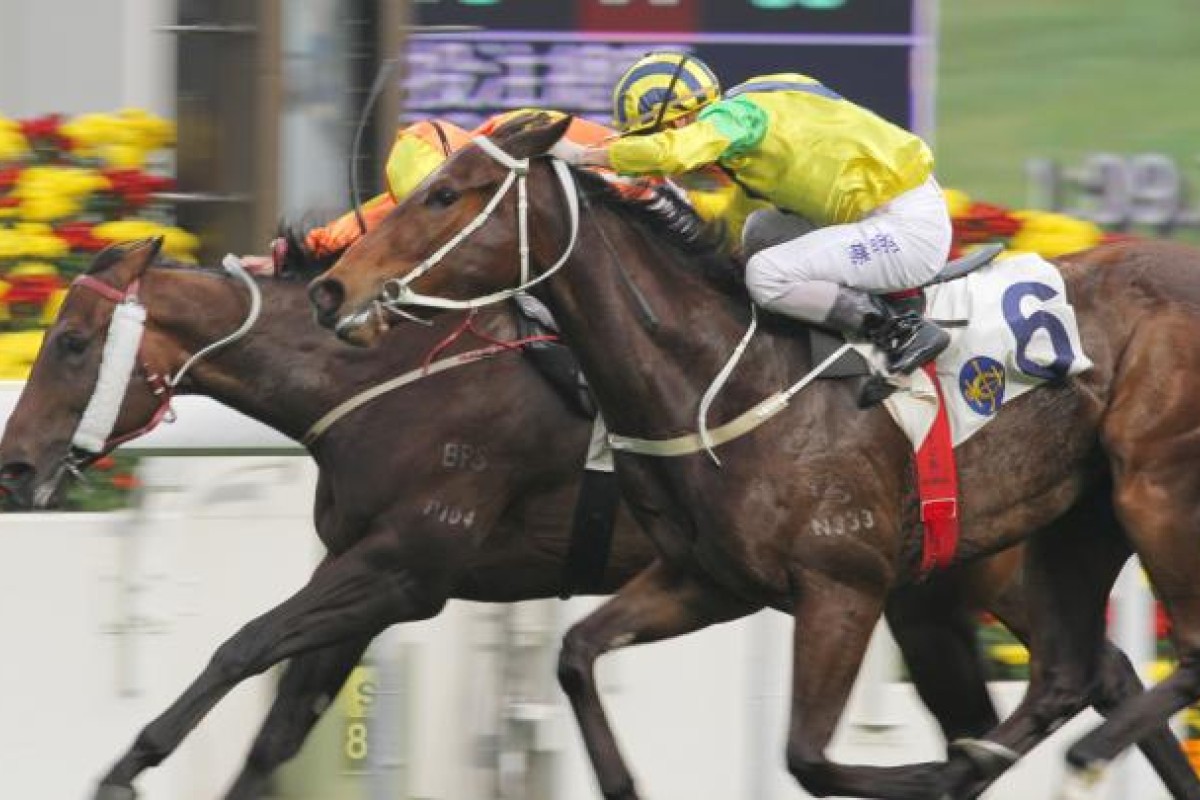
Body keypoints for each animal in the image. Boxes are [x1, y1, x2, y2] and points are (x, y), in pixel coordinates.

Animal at [0, 237, 1108, 800]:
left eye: (71, 340)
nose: (15, 464)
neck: (383, 379)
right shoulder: (366, 575)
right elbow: (279, 725)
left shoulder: (407, 566)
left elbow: (240, 645)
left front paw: (126, 767)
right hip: (947, 587)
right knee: (1070, 683)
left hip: (958, 574)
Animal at [312, 115, 1200, 796]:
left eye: (444, 195)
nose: (331, 289)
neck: (721, 376)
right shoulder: (707, 578)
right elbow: (575, 654)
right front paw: (621, 779)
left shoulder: (843, 586)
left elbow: (807, 757)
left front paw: (930, 773)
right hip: (1072, 521)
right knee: (1064, 676)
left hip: (1152, 490)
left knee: (1172, 659)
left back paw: (1073, 752)